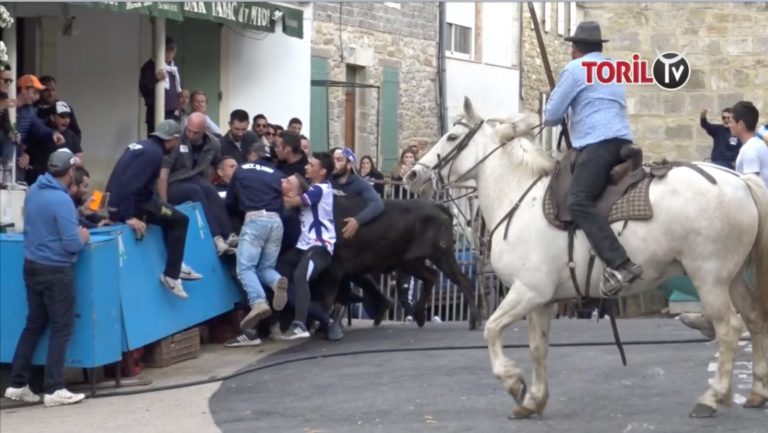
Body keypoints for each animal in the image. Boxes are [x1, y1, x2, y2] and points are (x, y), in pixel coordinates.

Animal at [310, 194, 480, 330]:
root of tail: (437, 206)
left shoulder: (334, 270)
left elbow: (324, 299)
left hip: (441, 255)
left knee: (464, 281)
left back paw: (473, 321)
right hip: (410, 262)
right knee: (431, 276)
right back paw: (419, 316)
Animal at [412, 97, 768, 416]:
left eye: (452, 137)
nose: (414, 175)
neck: (518, 197)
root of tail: (740, 180)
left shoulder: (528, 291)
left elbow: (492, 329)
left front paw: (514, 383)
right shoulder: (541, 300)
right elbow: (537, 348)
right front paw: (533, 400)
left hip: (709, 278)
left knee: (729, 328)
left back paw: (712, 398)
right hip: (732, 277)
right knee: (754, 319)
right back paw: (756, 393)